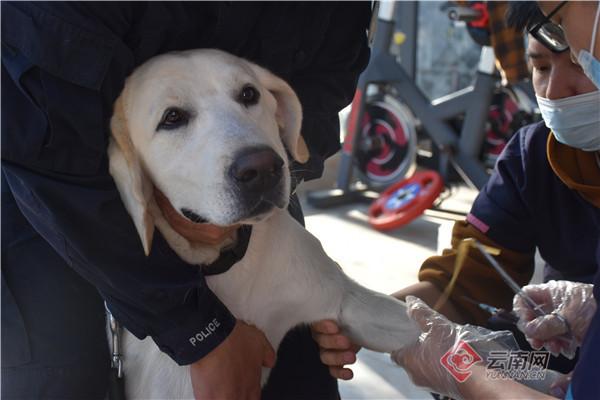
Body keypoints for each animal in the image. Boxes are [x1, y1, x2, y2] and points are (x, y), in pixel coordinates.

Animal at [108, 49, 420, 396]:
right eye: (172, 118)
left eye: (249, 94)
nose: (261, 169)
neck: (229, 261)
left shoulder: (344, 299)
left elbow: (421, 327)